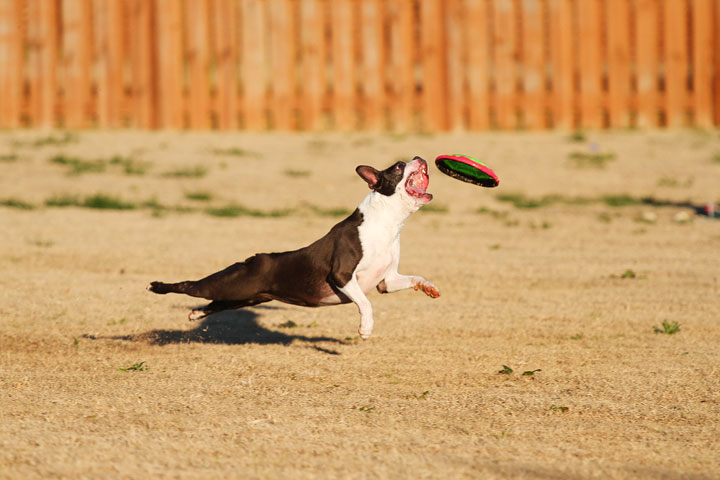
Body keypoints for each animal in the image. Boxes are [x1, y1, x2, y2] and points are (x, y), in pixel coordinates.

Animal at [146, 157, 438, 338]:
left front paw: (428, 287)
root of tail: (254, 259)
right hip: (228, 284)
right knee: (190, 285)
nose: (418, 157)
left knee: (215, 303)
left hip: (244, 295)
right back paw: (157, 287)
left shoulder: (386, 281)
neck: (387, 223)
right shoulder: (342, 276)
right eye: (399, 166)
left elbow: (415, 277)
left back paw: (196, 314)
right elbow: (365, 303)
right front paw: (365, 329)